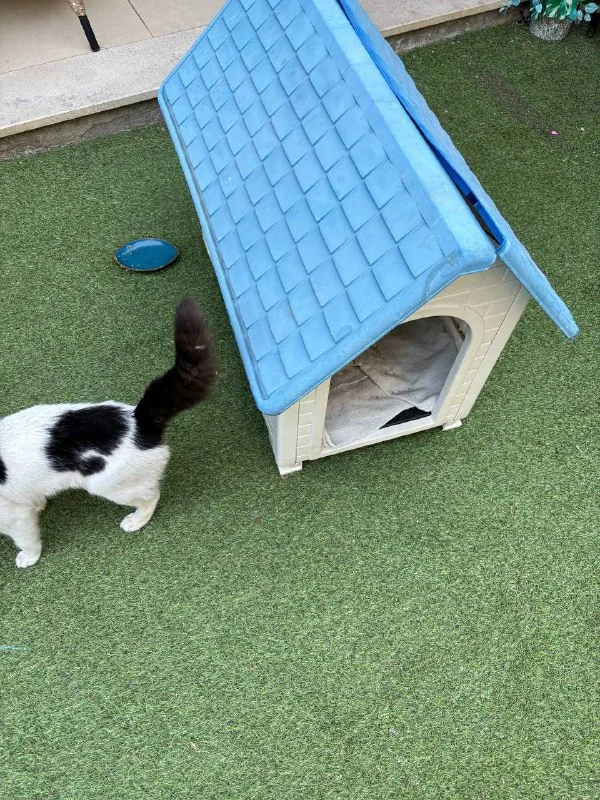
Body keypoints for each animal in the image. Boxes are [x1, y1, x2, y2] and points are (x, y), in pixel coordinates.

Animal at [0, 297, 216, 568]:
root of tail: (137, 419)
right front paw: (40, 504)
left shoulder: (14, 516)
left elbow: (27, 539)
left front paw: (29, 557)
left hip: (108, 486)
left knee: (151, 496)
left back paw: (136, 520)